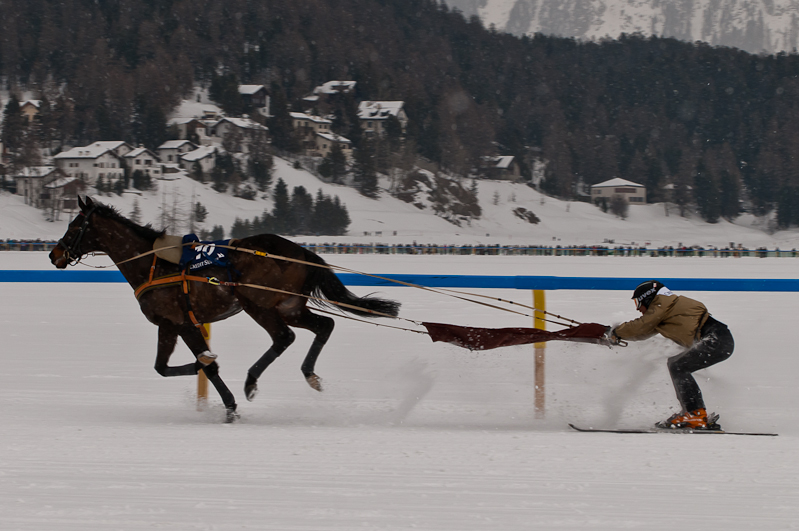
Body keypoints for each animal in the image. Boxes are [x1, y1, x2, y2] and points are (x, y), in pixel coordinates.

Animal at [50, 196, 400, 424]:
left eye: (74, 225)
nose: (54, 254)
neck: (153, 264)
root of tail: (300, 252)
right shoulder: (171, 324)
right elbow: (164, 367)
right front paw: (210, 377)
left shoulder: (179, 322)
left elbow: (199, 366)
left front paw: (225, 396)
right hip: (289, 306)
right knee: (324, 326)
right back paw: (310, 375)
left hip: (256, 303)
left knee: (283, 338)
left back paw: (251, 381)